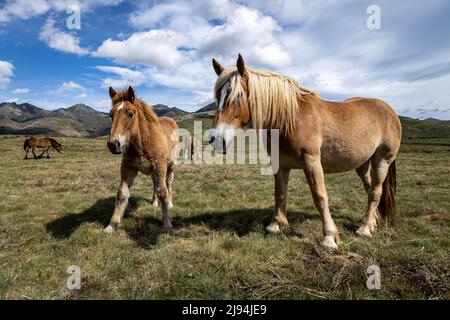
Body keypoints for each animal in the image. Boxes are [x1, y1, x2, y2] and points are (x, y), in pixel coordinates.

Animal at [103, 87, 179, 232]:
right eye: (111, 114)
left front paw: (167, 223)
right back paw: (154, 203)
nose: (113, 144)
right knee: (155, 184)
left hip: (171, 166)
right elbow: (122, 194)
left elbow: (163, 192)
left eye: (130, 113)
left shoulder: (160, 166)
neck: (142, 143)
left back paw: (170, 204)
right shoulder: (128, 168)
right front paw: (111, 225)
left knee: (168, 184)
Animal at [209, 54, 402, 250]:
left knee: (375, 191)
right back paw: (373, 221)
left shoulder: (311, 161)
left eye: (238, 95)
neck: (290, 119)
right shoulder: (281, 164)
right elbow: (280, 193)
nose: (216, 140)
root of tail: (390, 111)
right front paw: (276, 224)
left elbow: (320, 196)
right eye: (217, 97)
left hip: (382, 160)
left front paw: (329, 237)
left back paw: (364, 228)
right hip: (362, 164)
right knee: (369, 188)